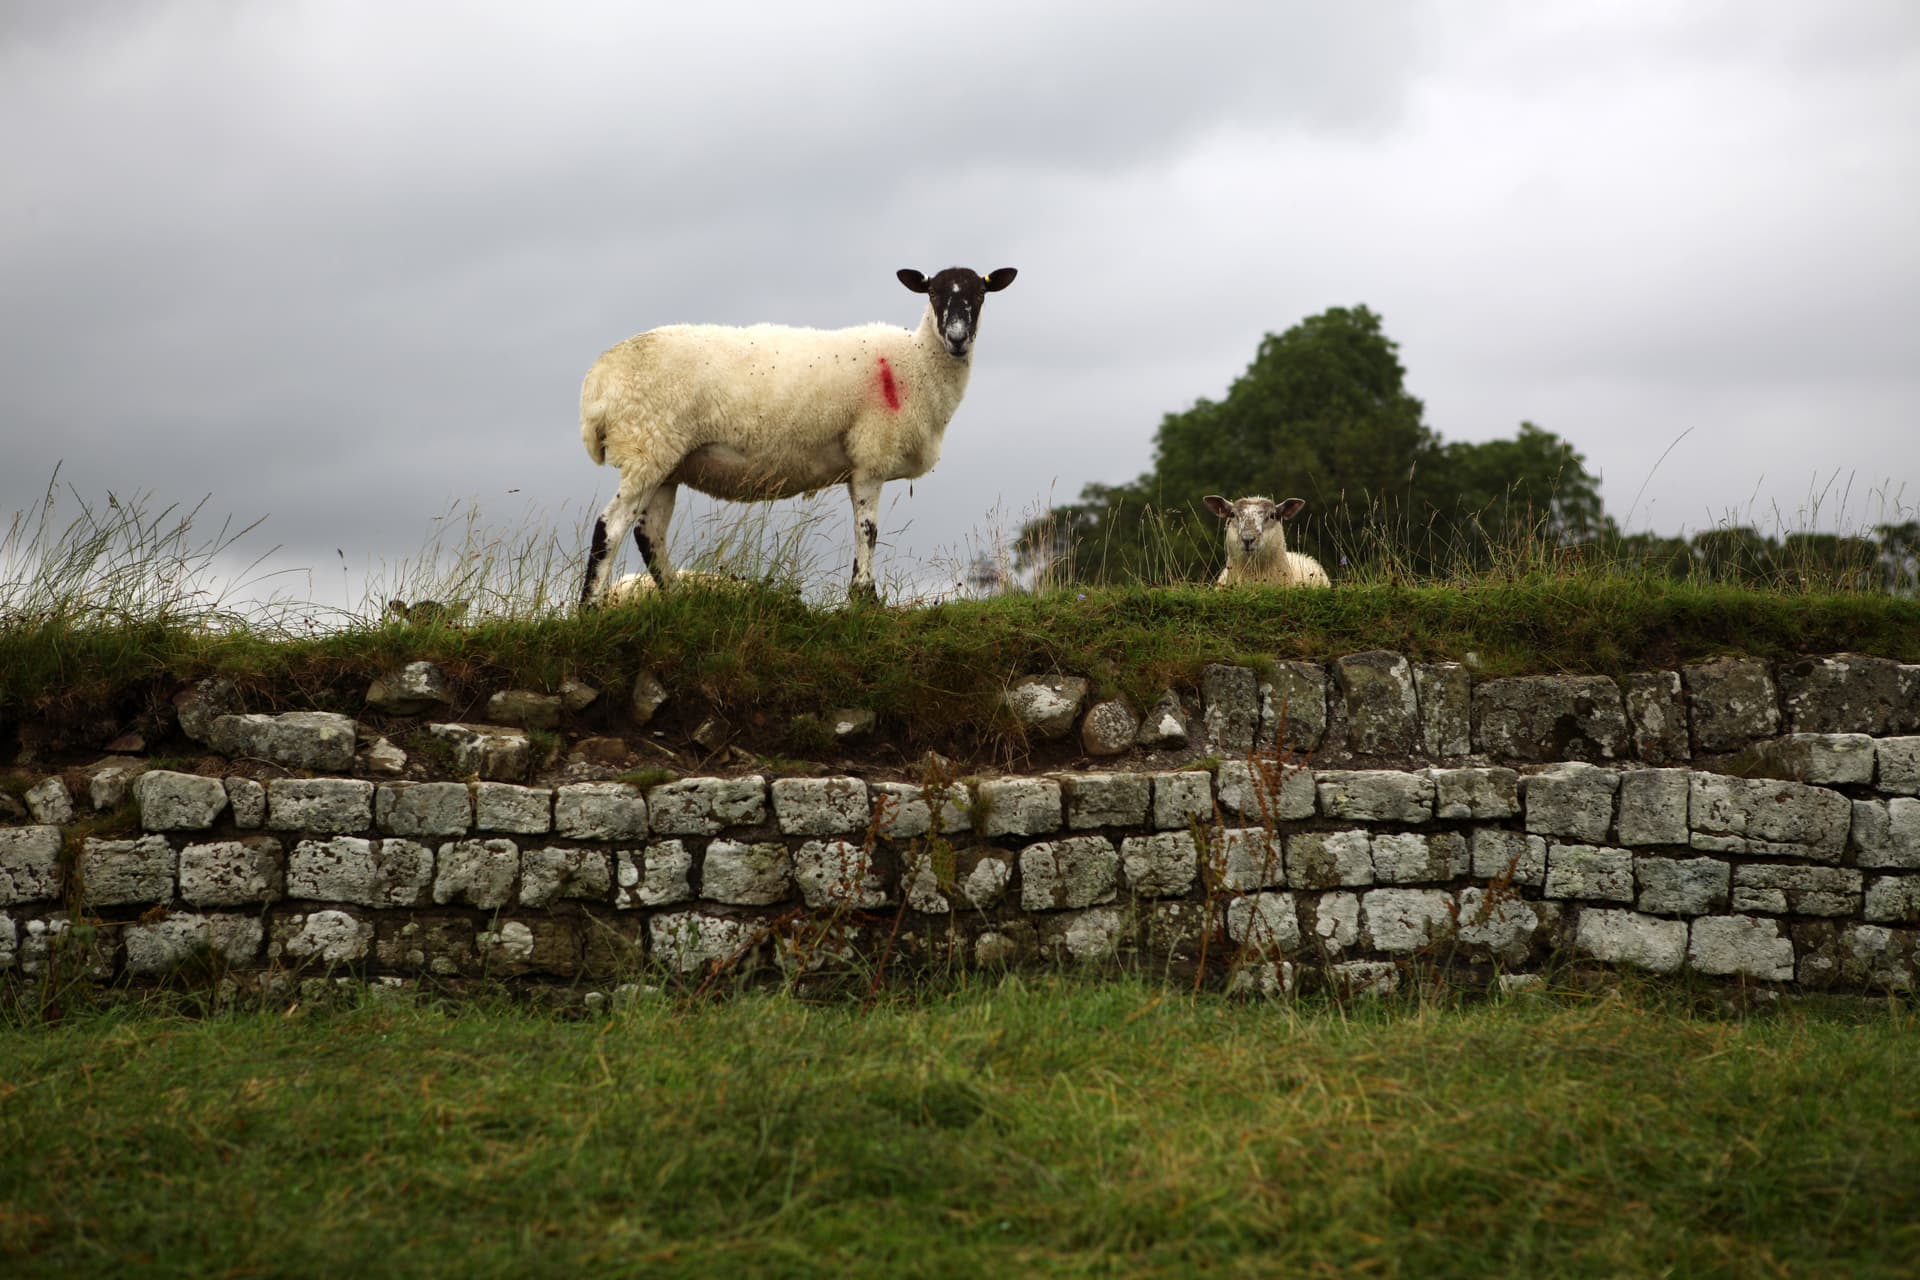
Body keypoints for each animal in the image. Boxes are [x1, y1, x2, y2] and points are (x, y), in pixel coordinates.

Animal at [578, 265, 1018, 603]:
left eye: (980, 294)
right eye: (933, 292)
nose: (957, 338)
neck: (915, 363)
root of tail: (596, 383)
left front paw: (860, 596)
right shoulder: (870, 456)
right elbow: (868, 531)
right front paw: (866, 600)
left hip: (667, 462)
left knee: (649, 534)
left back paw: (678, 599)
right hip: (647, 447)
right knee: (610, 527)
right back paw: (592, 609)